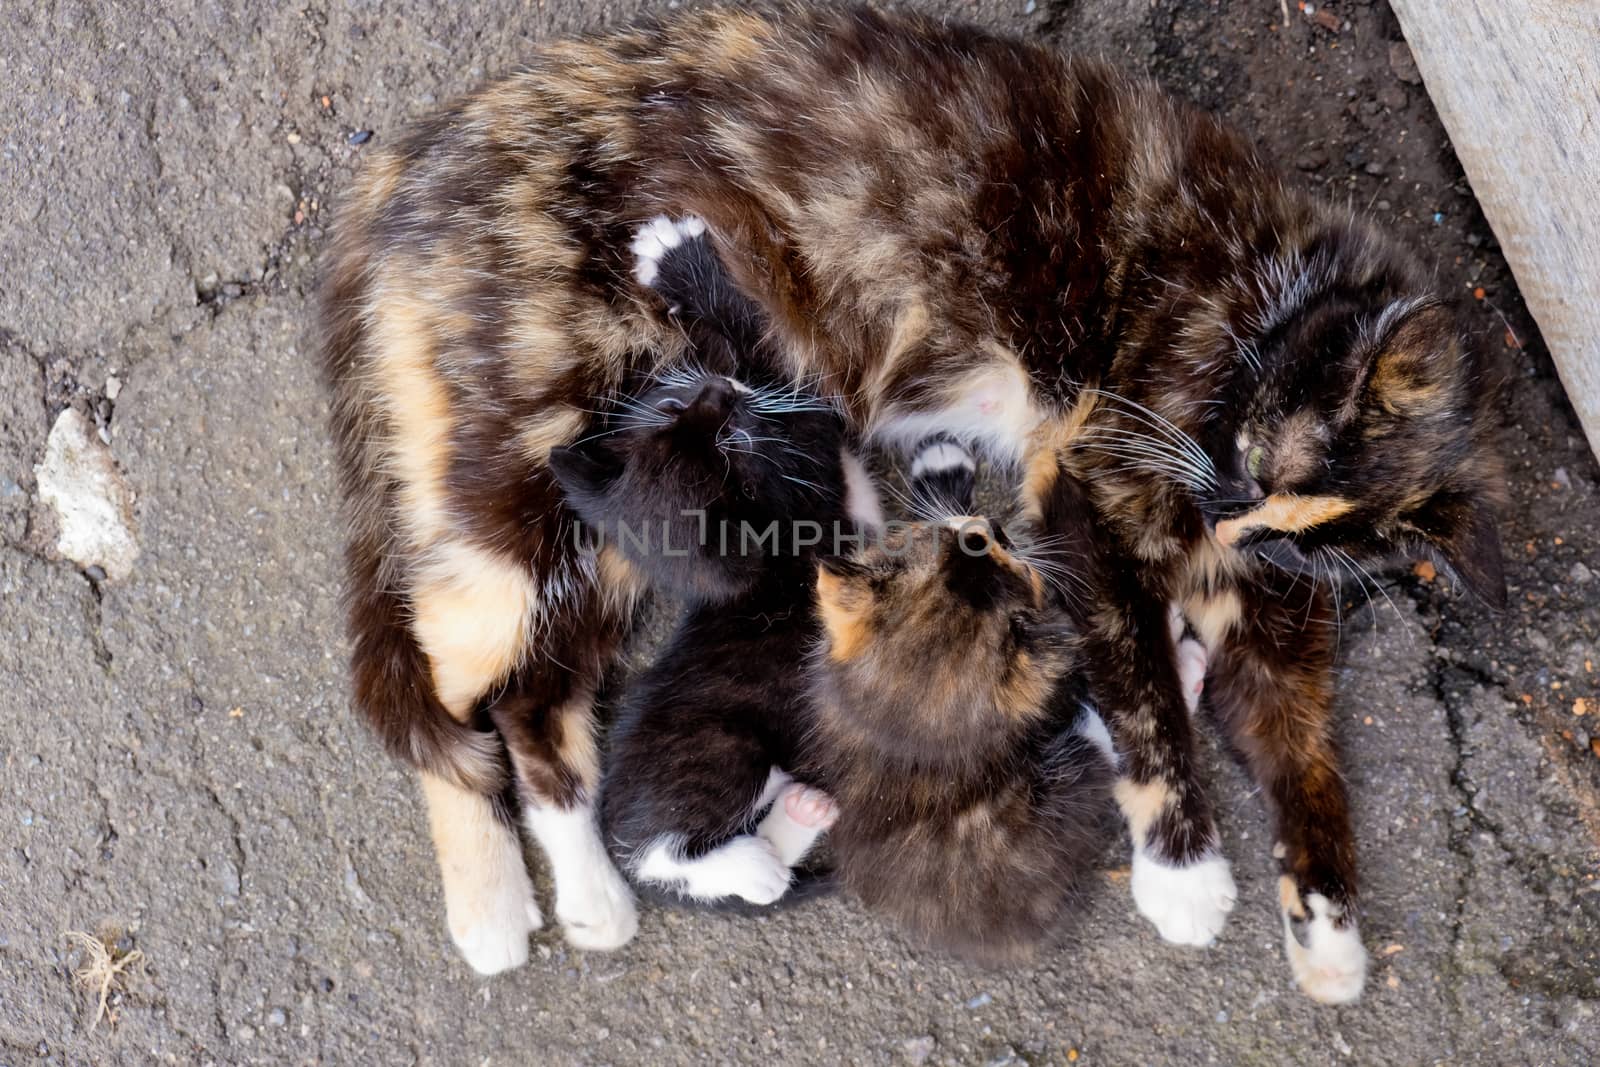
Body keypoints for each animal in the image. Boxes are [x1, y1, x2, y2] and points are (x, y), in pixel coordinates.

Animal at [321, 2, 1497, 1004]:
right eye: (1256, 463)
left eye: (1294, 529)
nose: (1221, 514)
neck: (1269, 295)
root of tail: (414, 159)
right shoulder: (1090, 476)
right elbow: (1142, 692)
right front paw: (1185, 872)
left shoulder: (1273, 605)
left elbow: (1305, 751)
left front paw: (1329, 926)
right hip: (528, 478)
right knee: (440, 685)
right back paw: (492, 902)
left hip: (632, 506)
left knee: (536, 698)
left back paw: (596, 894)